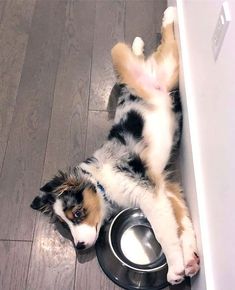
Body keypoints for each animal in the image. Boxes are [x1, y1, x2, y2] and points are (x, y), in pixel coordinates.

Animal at [30, 7, 200, 286]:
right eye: (64, 225)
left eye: (78, 213)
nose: (79, 246)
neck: (104, 183)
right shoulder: (164, 186)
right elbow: (181, 221)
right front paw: (190, 260)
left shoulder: (147, 191)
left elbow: (164, 232)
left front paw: (175, 269)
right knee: (150, 52)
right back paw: (142, 43)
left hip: (140, 62)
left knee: (162, 44)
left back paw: (169, 14)